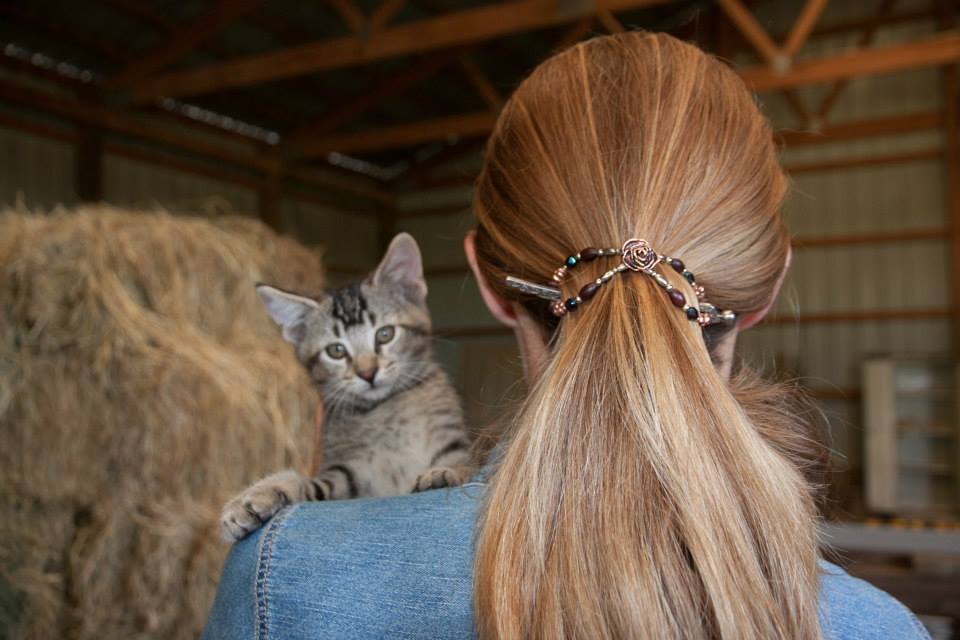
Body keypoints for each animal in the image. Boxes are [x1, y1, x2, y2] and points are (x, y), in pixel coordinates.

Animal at [221, 233, 473, 541]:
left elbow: (464, 466)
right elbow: (308, 484)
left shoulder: (453, 444)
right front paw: (257, 495)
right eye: (336, 351)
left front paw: (444, 474)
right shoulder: (349, 476)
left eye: (385, 334)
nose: (368, 373)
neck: (385, 410)